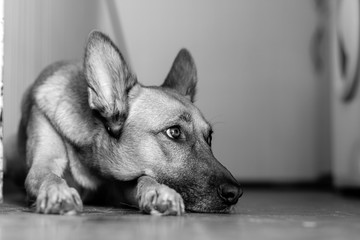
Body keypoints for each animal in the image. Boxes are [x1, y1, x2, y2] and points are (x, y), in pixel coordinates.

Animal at [16, 30, 243, 216]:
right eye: (175, 132)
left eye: (209, 137)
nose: (235, 193)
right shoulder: (42, 165)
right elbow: (49, 176)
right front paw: (57, 191)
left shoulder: (121, 186)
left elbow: (144, 178)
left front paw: (158, 191)